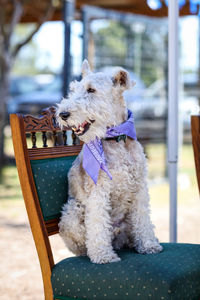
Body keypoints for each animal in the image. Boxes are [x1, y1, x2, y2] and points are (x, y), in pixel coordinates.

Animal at [55, 59, 162, 264]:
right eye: (73, 89)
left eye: (91, 90)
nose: (62, 114)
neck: (117, 138)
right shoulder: (98, 191)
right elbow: (97, 223)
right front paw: (103, 255)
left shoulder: (140, 188)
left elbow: (143, 219)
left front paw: (148, 245)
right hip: (71, 212)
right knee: (84, 242)